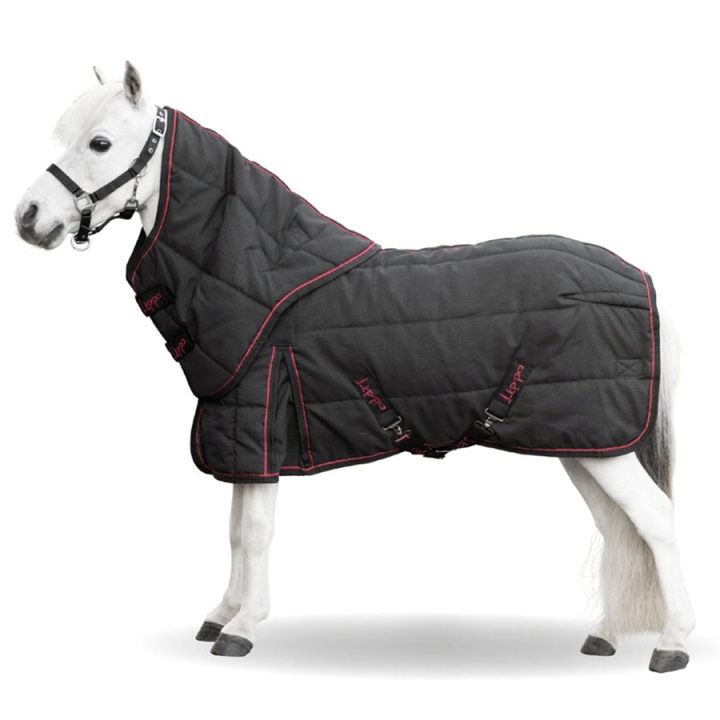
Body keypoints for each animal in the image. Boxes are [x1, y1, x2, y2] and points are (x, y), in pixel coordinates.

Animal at [14, 62, 695, 672]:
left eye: (100, 143)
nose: (28, 218)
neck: (259, 278)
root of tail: (637, 278)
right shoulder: (240, 438)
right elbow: (233, 531)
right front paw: (221, 615)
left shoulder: (261, 427)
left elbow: (254, 532)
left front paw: (243, 627)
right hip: (584, 443)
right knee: (620, 530)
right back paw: (606, 635)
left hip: (600, 443)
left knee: (657, 522)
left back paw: (672, 645)